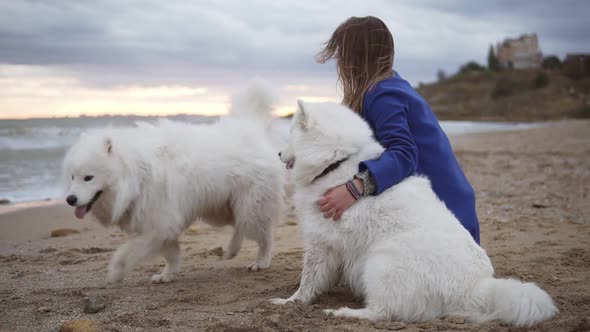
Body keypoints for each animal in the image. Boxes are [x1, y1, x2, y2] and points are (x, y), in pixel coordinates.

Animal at [63, 80, 286, 282]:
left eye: (88, 177)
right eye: (73, 176)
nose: (70, 199)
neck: (137, 173)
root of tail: (250, 128)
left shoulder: (157, 223)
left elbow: (127, 253)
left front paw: (116, 272)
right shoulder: (163, 224)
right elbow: (171, 255)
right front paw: (167, 275)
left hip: (250, 205)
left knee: (264, 236)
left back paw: (261, 261)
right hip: (221, 208)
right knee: (239, 225)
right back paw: (232, 250)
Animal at [272, 99, 560, 326]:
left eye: (291, 134)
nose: (277, 152)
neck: (336, 162)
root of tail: (475, 288)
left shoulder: (319, 240)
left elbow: (308, 280)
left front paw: (290, 302)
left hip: (381, 262)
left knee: (383, 312)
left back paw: (344, 313)